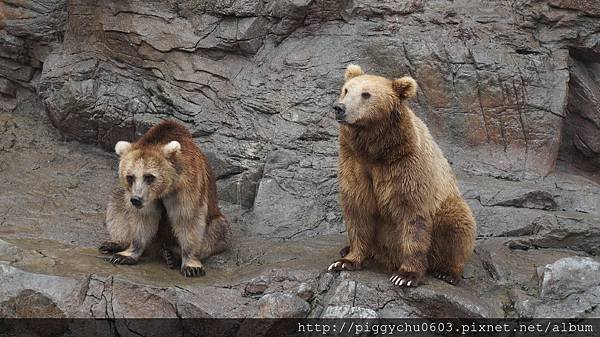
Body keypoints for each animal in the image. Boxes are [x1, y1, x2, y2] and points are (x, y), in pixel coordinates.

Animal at [98, 119, 230, 276]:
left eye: (149, 176)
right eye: (130, 176)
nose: (136, 199)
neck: (165, 189)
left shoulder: (187, 186)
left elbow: (188, 219)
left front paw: (192, 266)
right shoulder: (146, 199)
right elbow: (143, 218)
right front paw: (124, 255)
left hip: (216, 221)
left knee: (218, 230)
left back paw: (171, 254)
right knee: (116, 202)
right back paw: (114, 243)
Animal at [326, 65, 476, 286]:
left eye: (366, 94)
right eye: (346, 90)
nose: (339, 108)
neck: (375, 148)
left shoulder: (407, 165)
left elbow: (413, 215)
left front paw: (405, 275)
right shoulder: (355, 162)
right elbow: (358, 209)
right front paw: (345, 261)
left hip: (447, 206)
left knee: (458, 224)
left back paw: (447, 271)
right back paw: (346, 249)